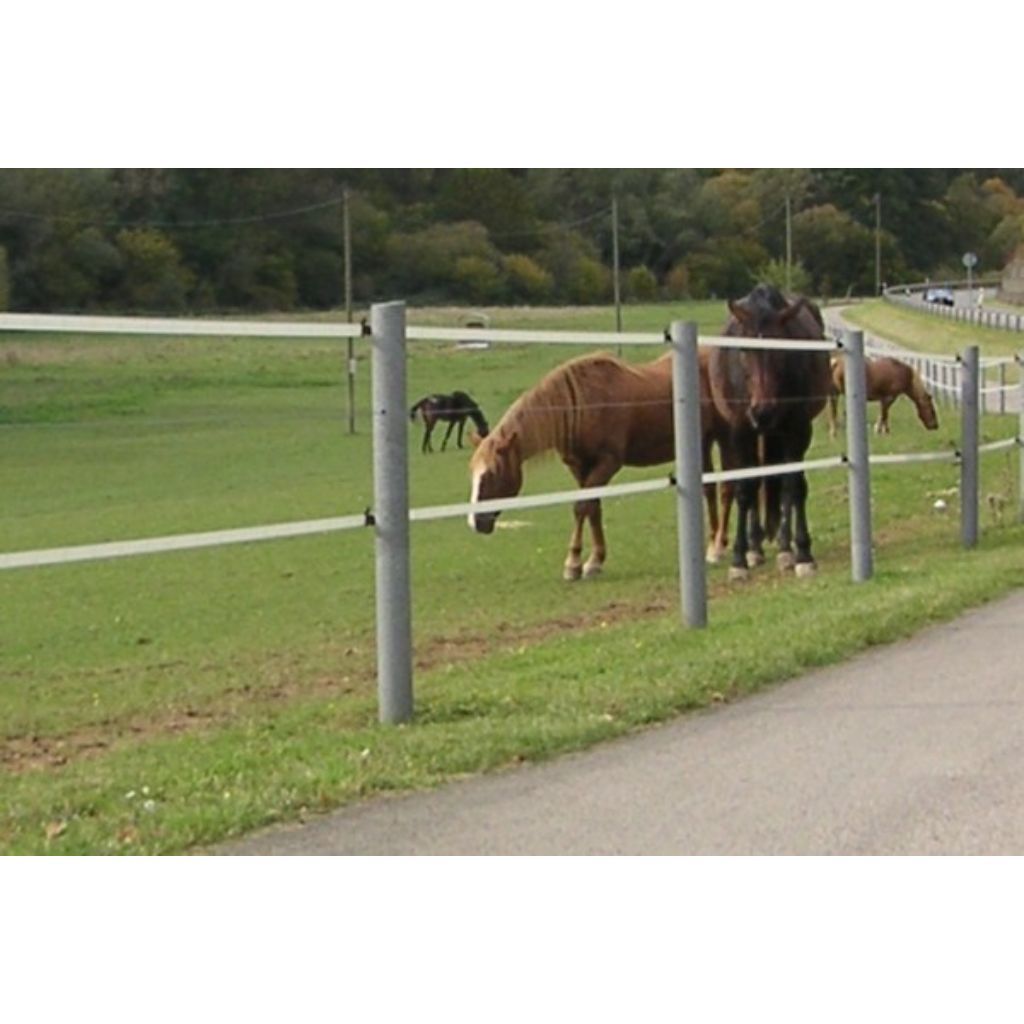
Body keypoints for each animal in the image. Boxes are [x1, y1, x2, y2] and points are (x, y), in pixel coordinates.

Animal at [468, 350, 720, 577]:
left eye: (492, 474)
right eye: (473, 474)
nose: (476, 522)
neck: (580, 405)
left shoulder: (607, 462)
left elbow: (582, 507)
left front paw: (573, 564)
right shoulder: (579, 467)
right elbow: (593, 509)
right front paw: (595, 560)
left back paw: (716, 548)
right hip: (704, 444)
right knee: (711, 488)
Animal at [712, 284, 831, 581]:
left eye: (781, 350)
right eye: (744, 351)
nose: (763, 411)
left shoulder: (798, 430)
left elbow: (794, 486)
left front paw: (803, 554)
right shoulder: (740, 432)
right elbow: (746, 489)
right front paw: (739, 559)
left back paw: (785, 548)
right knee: (757, 482)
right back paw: (755, 548)